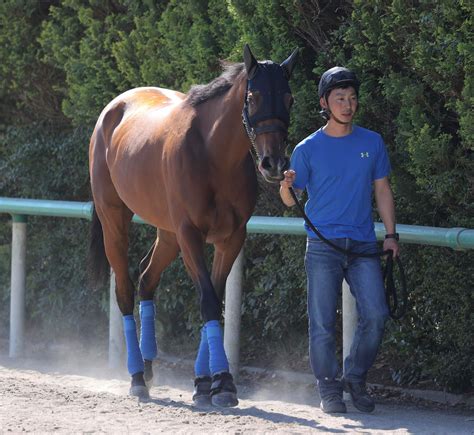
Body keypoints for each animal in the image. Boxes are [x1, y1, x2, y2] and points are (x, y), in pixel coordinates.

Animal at [88, 43, 296, 406]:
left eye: (288, 97)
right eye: (253, 95)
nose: (273, 163)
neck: (213, 154)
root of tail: (113, 109)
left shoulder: (231, 238)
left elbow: (215, 299)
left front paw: (207, 383)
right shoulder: (190, 235)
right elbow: (208, 300)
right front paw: (221, 381)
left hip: (168, 235)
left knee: (147, 279)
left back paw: (148, 366)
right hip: (114, 220)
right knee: (125, 290)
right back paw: (137, 377)